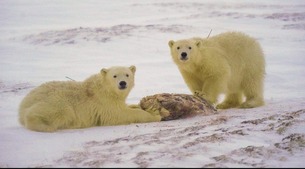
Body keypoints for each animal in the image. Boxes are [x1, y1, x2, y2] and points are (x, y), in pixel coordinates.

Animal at [18, 65, 162, 132]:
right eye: (115, 76)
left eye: (127, 74)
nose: (122, 83)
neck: (105, 89)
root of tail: (22, 106)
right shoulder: (104, 102)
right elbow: (120, 114)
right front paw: (155, 114)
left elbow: (125, 107)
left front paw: (140, 106)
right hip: (56, 102)